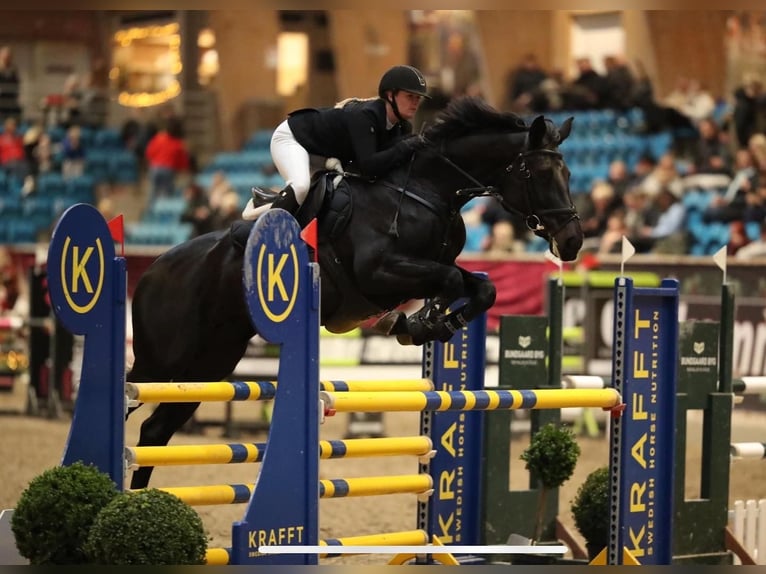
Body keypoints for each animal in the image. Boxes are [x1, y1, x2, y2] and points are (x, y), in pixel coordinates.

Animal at [126, 97, 583, 489]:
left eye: (569, 175)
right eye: (539, 174)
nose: (573, 242)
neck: (427, 191)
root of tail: (151, 270)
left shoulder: (433, 267)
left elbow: (481, 288)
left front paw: (429, 322)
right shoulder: (378, 274)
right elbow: (450, 283)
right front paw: (420, 323)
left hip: (212, 362)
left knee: (155, 429)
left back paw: (139, 501)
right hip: (165, 359)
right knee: (133, 399)